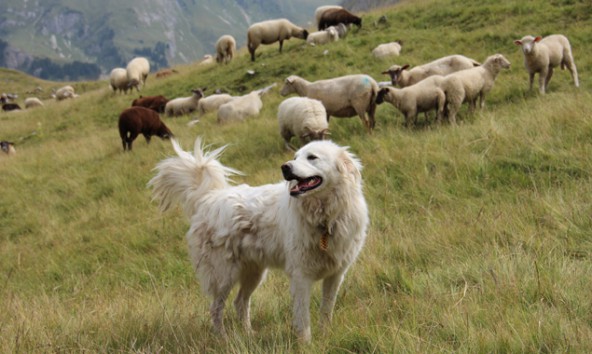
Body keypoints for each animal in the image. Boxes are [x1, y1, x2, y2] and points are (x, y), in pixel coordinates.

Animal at [150, 137, 368, 342]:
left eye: (312, 157)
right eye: (295, 157)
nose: (285, 167)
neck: (324, 217)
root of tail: (209, 198)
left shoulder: (336, 275)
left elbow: (326, 310)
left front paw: (324, 335)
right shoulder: (301, 276)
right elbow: (303, 317)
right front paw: (306, 343)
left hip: (253, 273)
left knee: (240, 302)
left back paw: (248, 334)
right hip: (223, 276)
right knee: (216, 308)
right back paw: (223, 339)